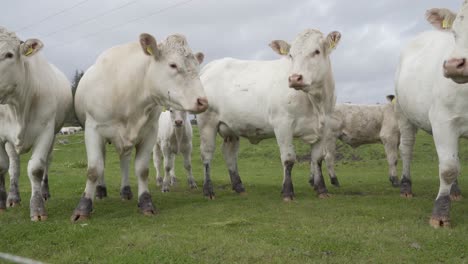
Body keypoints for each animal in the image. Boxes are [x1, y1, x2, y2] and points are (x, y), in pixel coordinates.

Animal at [0, 26, 72, 221]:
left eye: (9, 55)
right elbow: (3, 166)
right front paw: (2, 203)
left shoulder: (45, 131)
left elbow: (36, 169)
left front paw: (38, 209)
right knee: (14, 166)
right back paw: (13, 197)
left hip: (54, 135)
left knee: (47, 162)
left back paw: (44, 192)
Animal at [71, 32, 207, 221]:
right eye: (173, 65)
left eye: (196, 66)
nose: (203, 101)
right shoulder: (93, 130)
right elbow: (93, 169)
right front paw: (83, 207)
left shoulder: (150, 132)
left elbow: (142, 169)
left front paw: (146, 202)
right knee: (102, 162)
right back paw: (101, 190)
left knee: (124, 162)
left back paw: (126, 190)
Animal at [197, 28, 340, 200]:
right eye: (291, 55)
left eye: (316, 51)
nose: (294, 78)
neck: (316, 103)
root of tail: (213, 65)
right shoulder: (282, 124)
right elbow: (288, 159)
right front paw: (287, 191)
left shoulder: (324, 127)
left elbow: (317, 159)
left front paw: (321, 189)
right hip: (207, 123)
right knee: (206, 154)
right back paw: (208, 190)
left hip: (231, 127)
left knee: (229, 153)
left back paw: (239, 187)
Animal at [396, 3, 468, 228]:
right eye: (455, 32)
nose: (454, 64)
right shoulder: (443, 120)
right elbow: (448, 169)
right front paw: (440, 215)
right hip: (403, 113)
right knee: (407, 149)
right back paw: (406, 187)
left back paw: (455, 191)